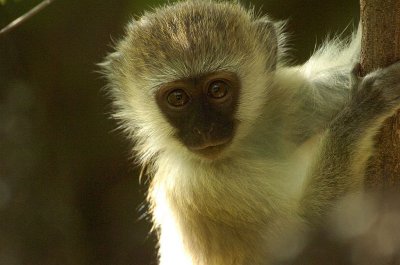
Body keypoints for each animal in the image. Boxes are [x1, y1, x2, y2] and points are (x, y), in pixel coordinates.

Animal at [101, 0, 400, 264]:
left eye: (217, 89)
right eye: (177, 98)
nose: (205, 129)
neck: (244, 146)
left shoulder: (288, 99)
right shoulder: (193, 186)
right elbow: (313, 241)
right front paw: (361, 113)